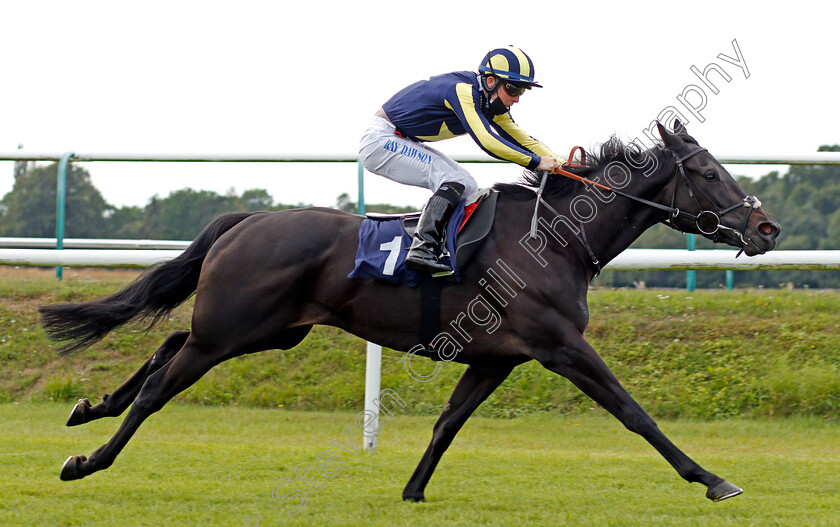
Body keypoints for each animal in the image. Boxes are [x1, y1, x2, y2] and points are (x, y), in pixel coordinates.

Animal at [42, 120, 780, 504]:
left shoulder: (498, 357)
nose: (766, 228)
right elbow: (633, 412)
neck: (553, 238)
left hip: (267, 331)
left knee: (166, 349)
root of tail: (245, 219)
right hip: (233, 328)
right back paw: (88, 459)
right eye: (708, 173)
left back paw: (89, 406)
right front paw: (712, 478)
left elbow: (448, 422)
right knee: (162, 385)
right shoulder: (559, 345)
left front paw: (413, 490)